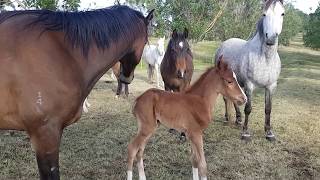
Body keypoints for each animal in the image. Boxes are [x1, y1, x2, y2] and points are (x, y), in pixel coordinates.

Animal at [215, 0, 284, 141]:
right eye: (264, 14)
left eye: (282, 13)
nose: (271, 39)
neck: (265, 58)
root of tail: (224, 44)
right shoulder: (249, 85)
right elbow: (248, 108)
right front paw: (245, 133)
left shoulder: (271, 86)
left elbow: (268, 108)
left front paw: (269, 132)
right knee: (226, 99)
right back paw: (227, 119)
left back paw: (238, 120)